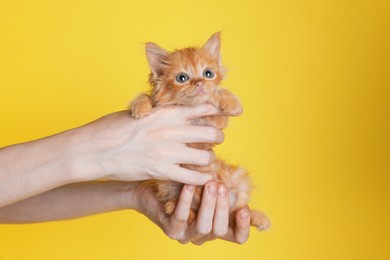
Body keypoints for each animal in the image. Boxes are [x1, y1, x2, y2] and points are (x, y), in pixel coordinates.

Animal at [129, 33, 270, 232]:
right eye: (182, 78)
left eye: (208, 74)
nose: (199, 83)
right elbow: (145, 96)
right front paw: (140, 107)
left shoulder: (215, 122)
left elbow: (217, 94)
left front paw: (231, 102)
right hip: (168, 185)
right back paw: (173, 206)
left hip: (238, 180)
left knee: (237, 213)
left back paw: (257, 217)